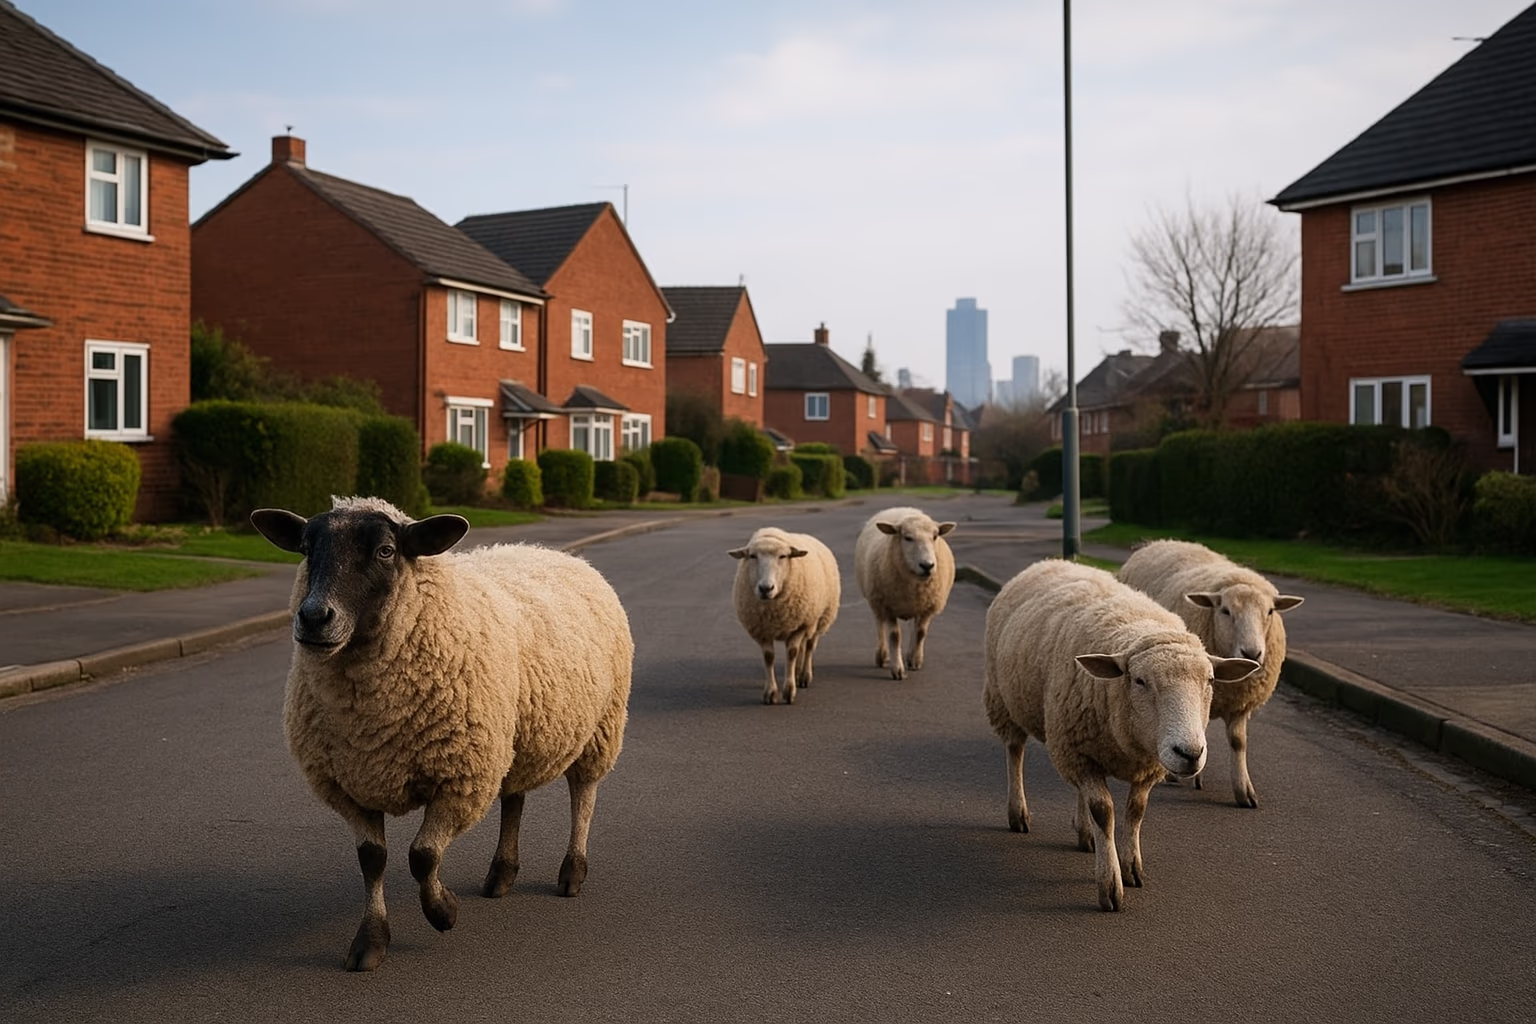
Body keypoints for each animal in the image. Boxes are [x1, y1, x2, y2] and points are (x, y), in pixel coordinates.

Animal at [250, 496, 632, 971]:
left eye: (386, 551)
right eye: (305, 548)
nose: (314, 617)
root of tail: (556, 553)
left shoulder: (458, 776)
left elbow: (423, 855)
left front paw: (442, 910)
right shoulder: (350, 783)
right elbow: (372, 860)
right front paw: (370, 942)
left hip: (600, 727)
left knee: (583, 796)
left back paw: (572, 871)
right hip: (510, 740)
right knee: (514, 798)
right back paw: (501, 873)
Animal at [729, 527, 841, 705]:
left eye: (783, 556)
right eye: (752, 556)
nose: (766, 588)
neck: (774, 610)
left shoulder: (800, 625)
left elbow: (792, 653)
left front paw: (789, 691)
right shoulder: (762, 630)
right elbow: (769, 657)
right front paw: (770, 692)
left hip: (819, 618)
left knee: (809, 645)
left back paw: (804, 676)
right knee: (803, 647)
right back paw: (797, 672)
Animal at [854, 507, 956, 680]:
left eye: (935, 536)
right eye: (907, 538)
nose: (927, 565)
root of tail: (901, 509)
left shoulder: (928, 606)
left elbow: (920, 632)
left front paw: (915, 660)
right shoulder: (887, 606)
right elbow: (895, 636)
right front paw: (898, 669)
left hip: (915, 605)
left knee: (915, 628)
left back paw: (910, 655)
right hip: (876, 600)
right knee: (880, 625)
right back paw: (881, 655)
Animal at [982, 559, 1259, 911]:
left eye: (1210, 680)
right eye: (1140, 681)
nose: (1190, 753)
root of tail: (1053, 561)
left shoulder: (1138, 762)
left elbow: (1135, 811)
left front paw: (1131, 866)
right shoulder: (1079, 751)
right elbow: (1104, 811)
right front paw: (1110, 884)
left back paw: (1084, 834)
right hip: (1004, 701)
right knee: (1014, 752)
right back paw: (1018, 812)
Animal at [1117, 539, 1304, 808]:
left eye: (1270, 611)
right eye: (1225, 611)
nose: (1252, 653)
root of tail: (1159, 542)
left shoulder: (1239, 703)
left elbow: (1238, 742)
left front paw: (1244, 790)